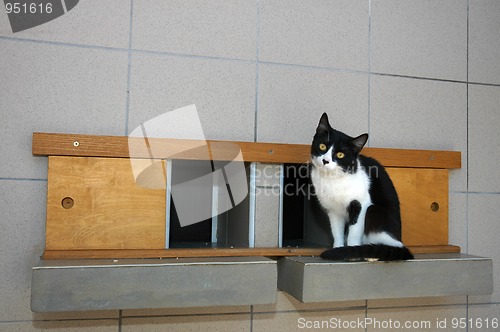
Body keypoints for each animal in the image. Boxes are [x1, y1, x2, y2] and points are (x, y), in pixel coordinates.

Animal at [312, 113, 414, 260]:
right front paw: (338, 248)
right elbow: (336, 231)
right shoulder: (334, 211)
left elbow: (354, 231)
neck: (333, 178)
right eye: (322, 146)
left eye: (340, 154)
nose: (325, 161)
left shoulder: (361, 204)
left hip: (374, 211)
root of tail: (400, 243)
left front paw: (351, 252)